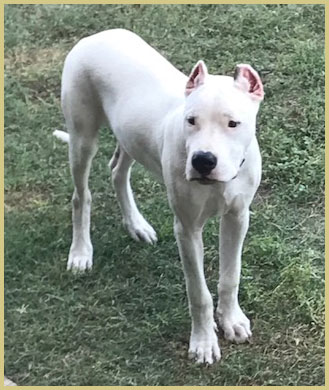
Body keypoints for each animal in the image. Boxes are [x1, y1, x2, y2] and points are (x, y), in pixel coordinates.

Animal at [54, 29, 264, 364]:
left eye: (233, 123)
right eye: (191, 120)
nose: (203, 160)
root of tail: (95, 36)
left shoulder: (237, 217)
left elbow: (231, 276)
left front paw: (231, 320)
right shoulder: (187, 229)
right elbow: (198, 292)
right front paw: (203, 342)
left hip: (129, 135)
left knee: (117, 171)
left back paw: (136, 225)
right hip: (82, 136)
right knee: (81, 196)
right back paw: (81, 252)